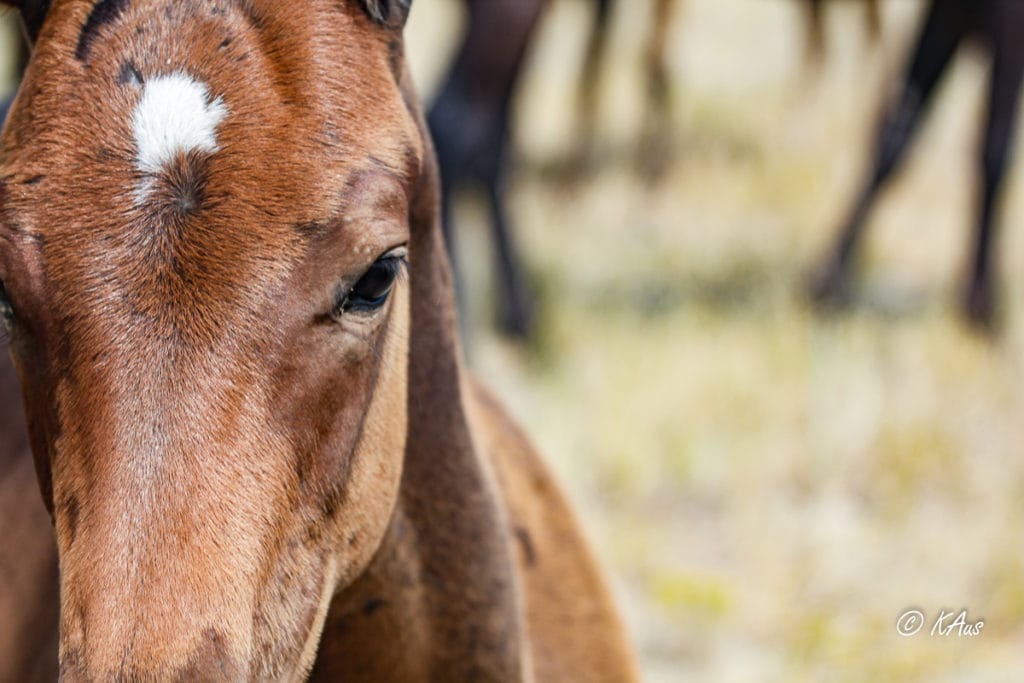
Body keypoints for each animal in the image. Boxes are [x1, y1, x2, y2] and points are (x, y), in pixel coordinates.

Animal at [806, 0, 1024, 327]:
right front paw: (828, 277)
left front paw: (979, 302)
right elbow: (898, 131)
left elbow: (994, 150)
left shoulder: (1008, 22)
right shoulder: (950, 14)